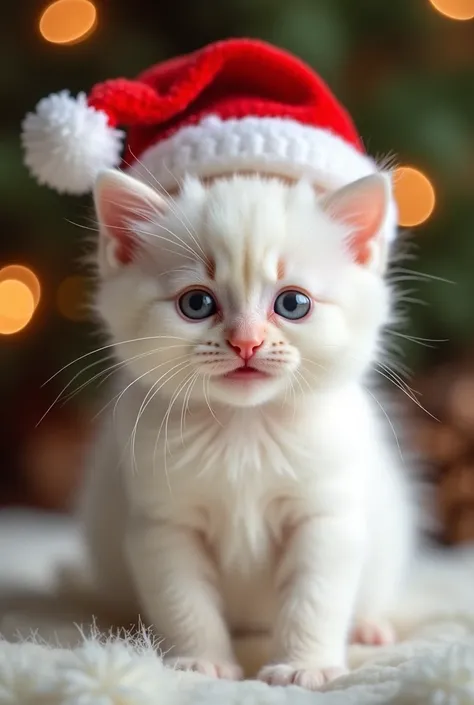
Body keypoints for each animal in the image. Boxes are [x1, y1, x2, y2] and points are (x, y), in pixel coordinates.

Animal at [79, 169, 416, 688]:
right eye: (197, 303)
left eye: (293, 303)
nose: (246, 342)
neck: (244, 429)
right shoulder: (163, 523)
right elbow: (184, 600)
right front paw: (201, 662)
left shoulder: (324, 515)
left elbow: (314, 597)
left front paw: (304, 666)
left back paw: (369, 627)